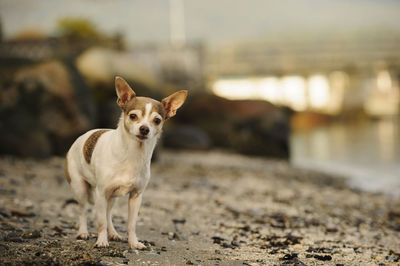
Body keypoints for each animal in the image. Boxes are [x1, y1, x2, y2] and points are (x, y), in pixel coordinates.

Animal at [64, 76, 188, 249]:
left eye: (157, 120)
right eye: (133, 116)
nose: (144, 129)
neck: (133, 153)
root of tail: (81, 137)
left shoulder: (136, 196)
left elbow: (131, 224)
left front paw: (134, 243)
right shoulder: (101, 193)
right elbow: (100, 222)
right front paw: (102, 241)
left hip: (112, 197)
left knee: (108, 213)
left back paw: (113, 233)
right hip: (80, 189)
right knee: (83, 210)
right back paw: (83, 232)